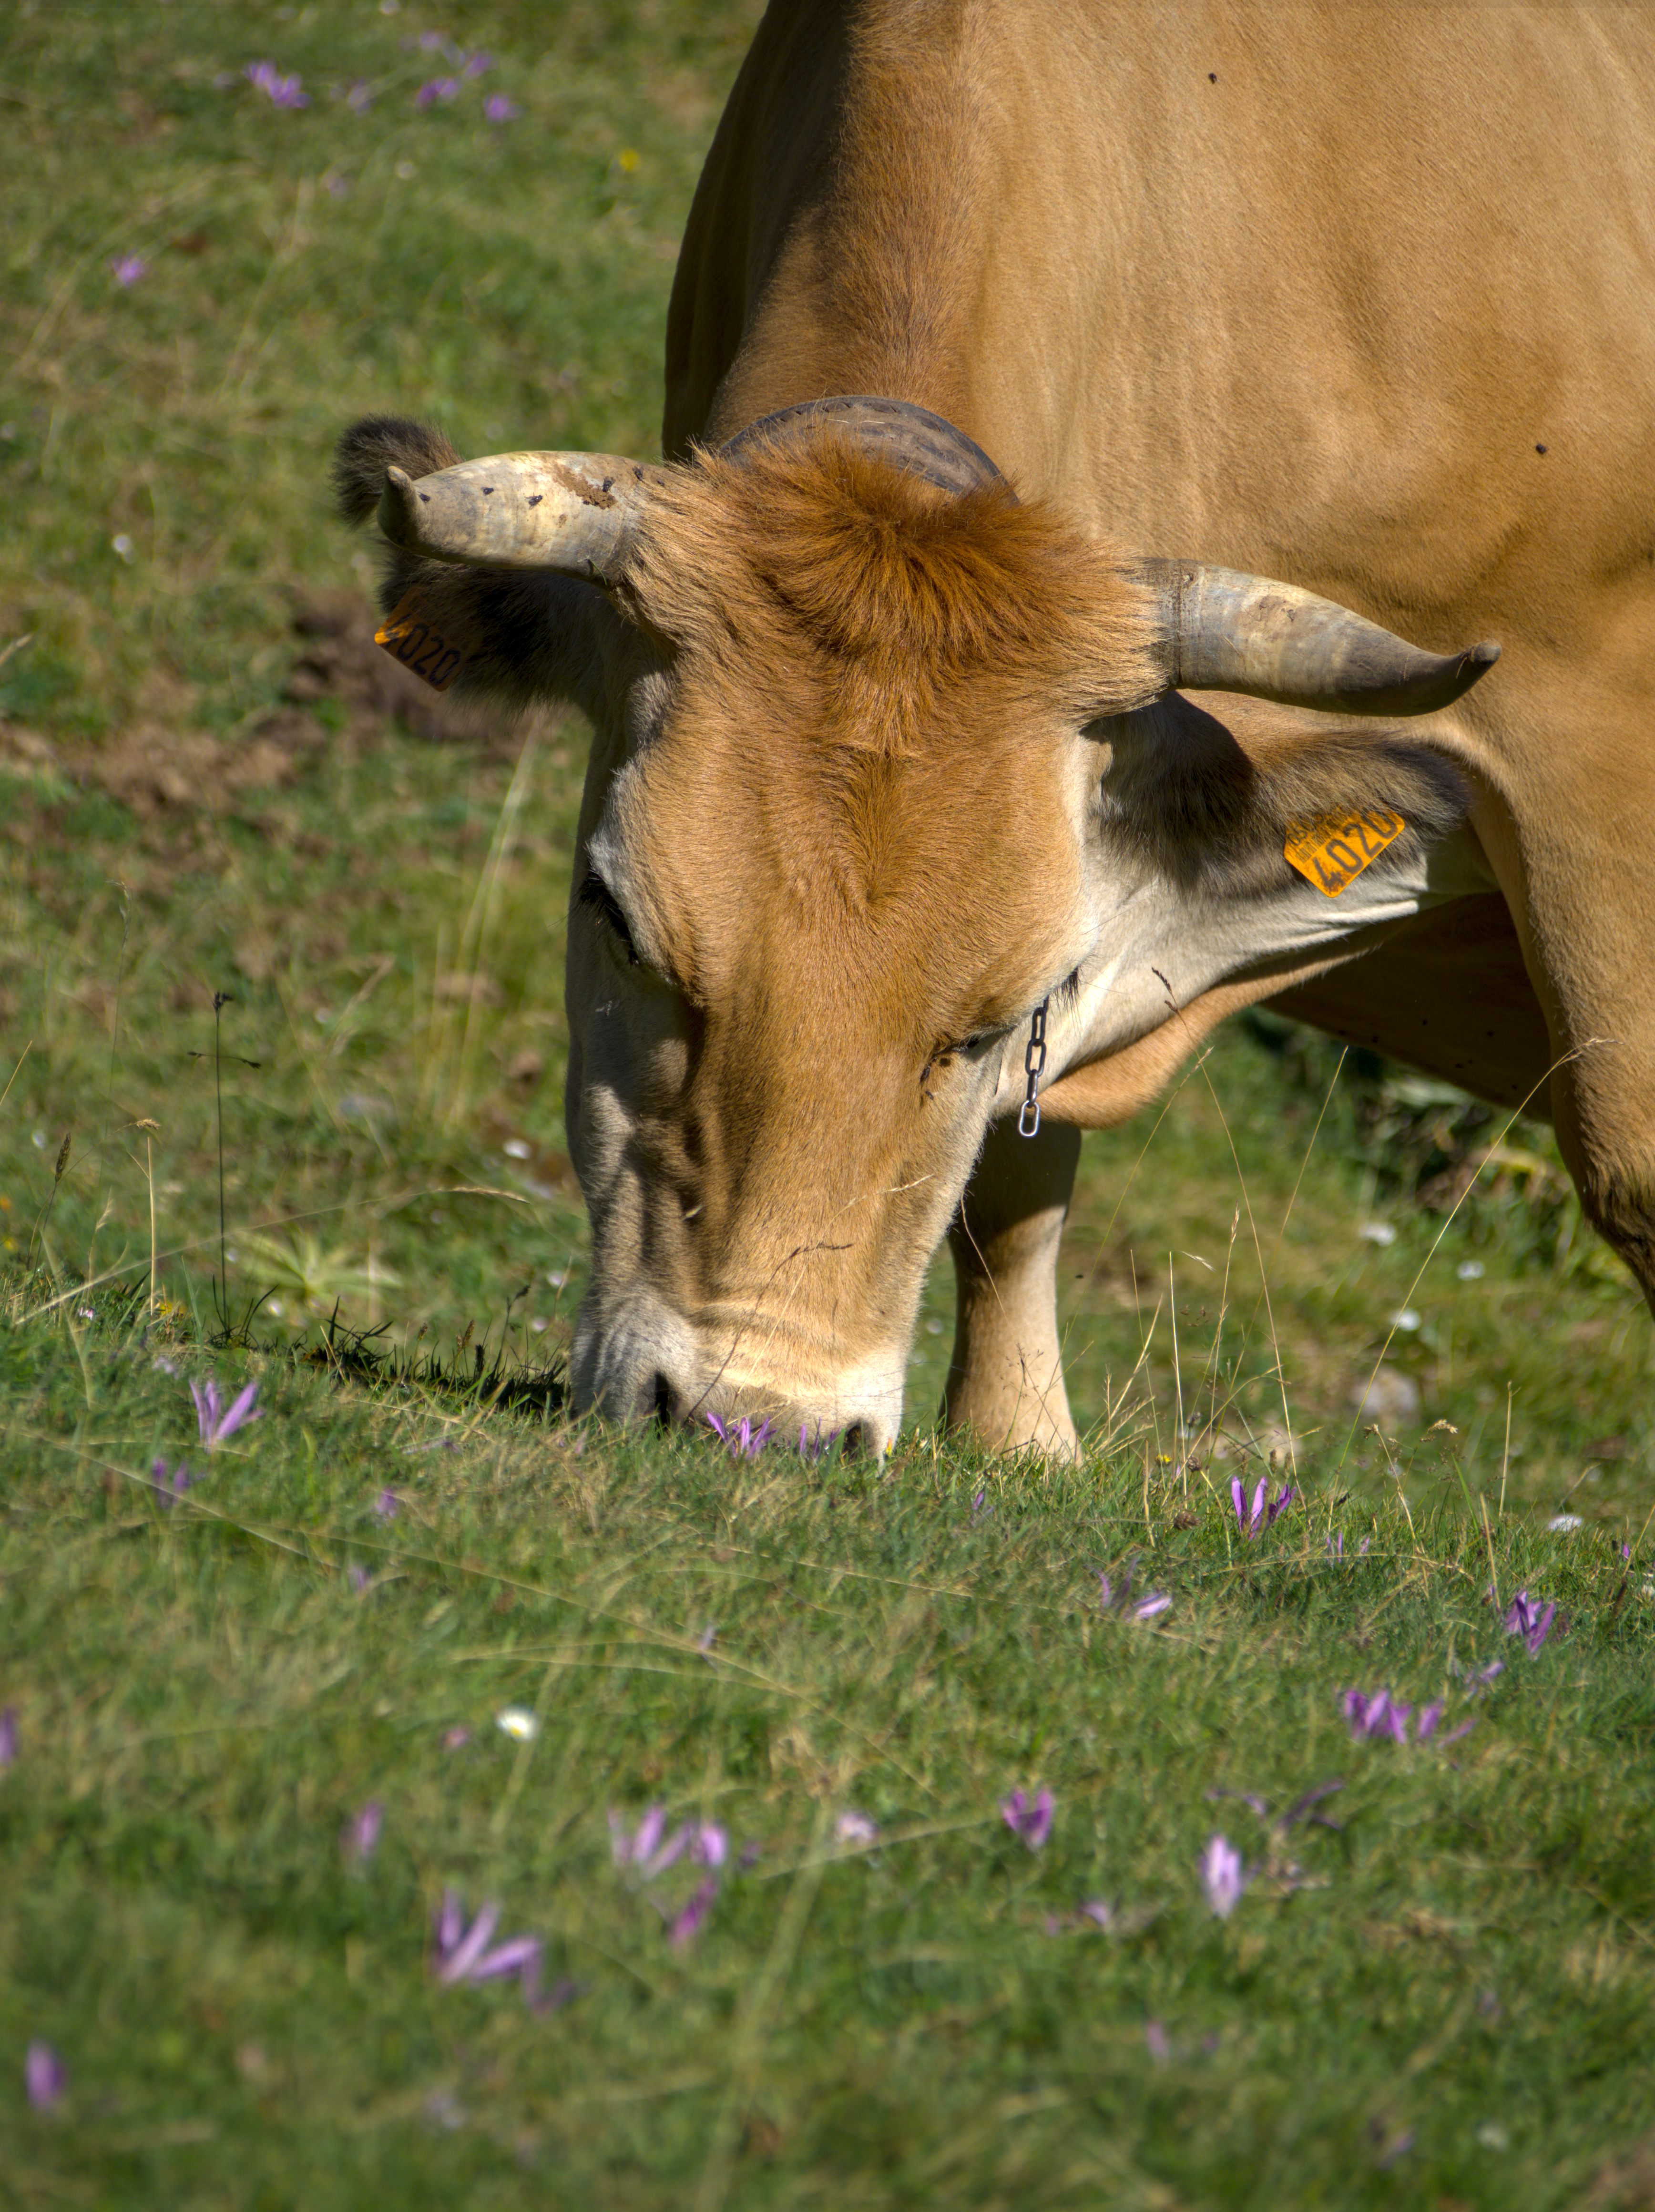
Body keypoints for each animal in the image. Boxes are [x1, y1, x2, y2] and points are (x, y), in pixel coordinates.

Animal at [335, 1, 1655, 1459]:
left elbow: (1635, 1167)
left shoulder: (1595, 758)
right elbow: (1023, 1165)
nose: (757, 1423)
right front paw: (1015, 1434)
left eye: (1000, 1011)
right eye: (615, 920)